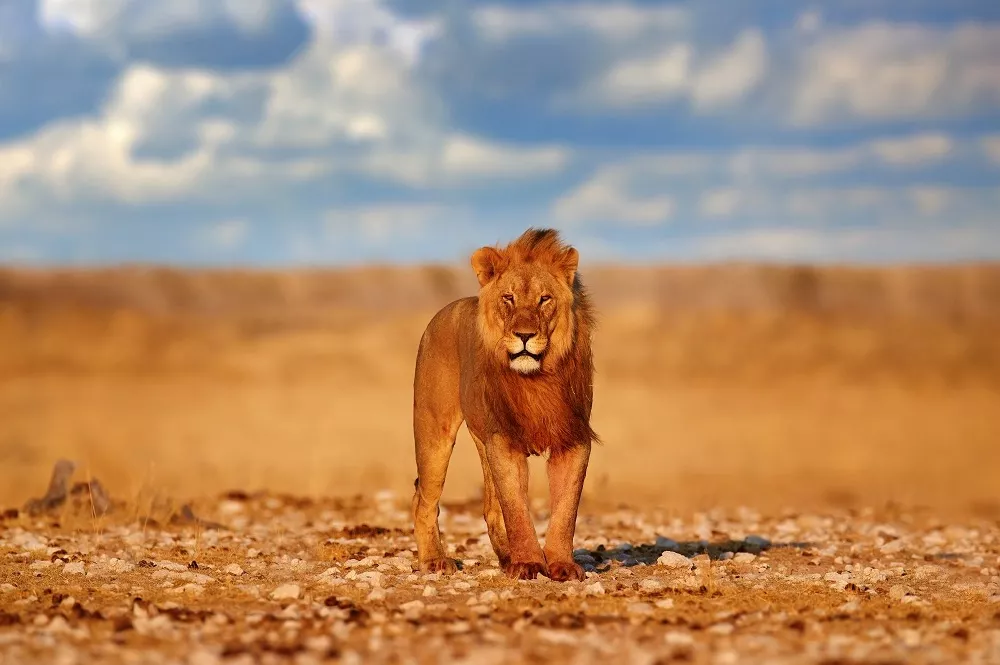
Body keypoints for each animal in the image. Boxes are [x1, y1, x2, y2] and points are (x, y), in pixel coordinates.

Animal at [410, 228, 596, 580]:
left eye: (544, 299)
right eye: (508, 298)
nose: (524, 335)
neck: (537, 378)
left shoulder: (573, 437)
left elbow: (566, 509)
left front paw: (561, 564)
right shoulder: (503, 441)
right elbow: (517, 508)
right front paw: (528, 564)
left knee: (490, 507)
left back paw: (507, 556)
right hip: (433, 432)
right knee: (423, 498)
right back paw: (434, 560)